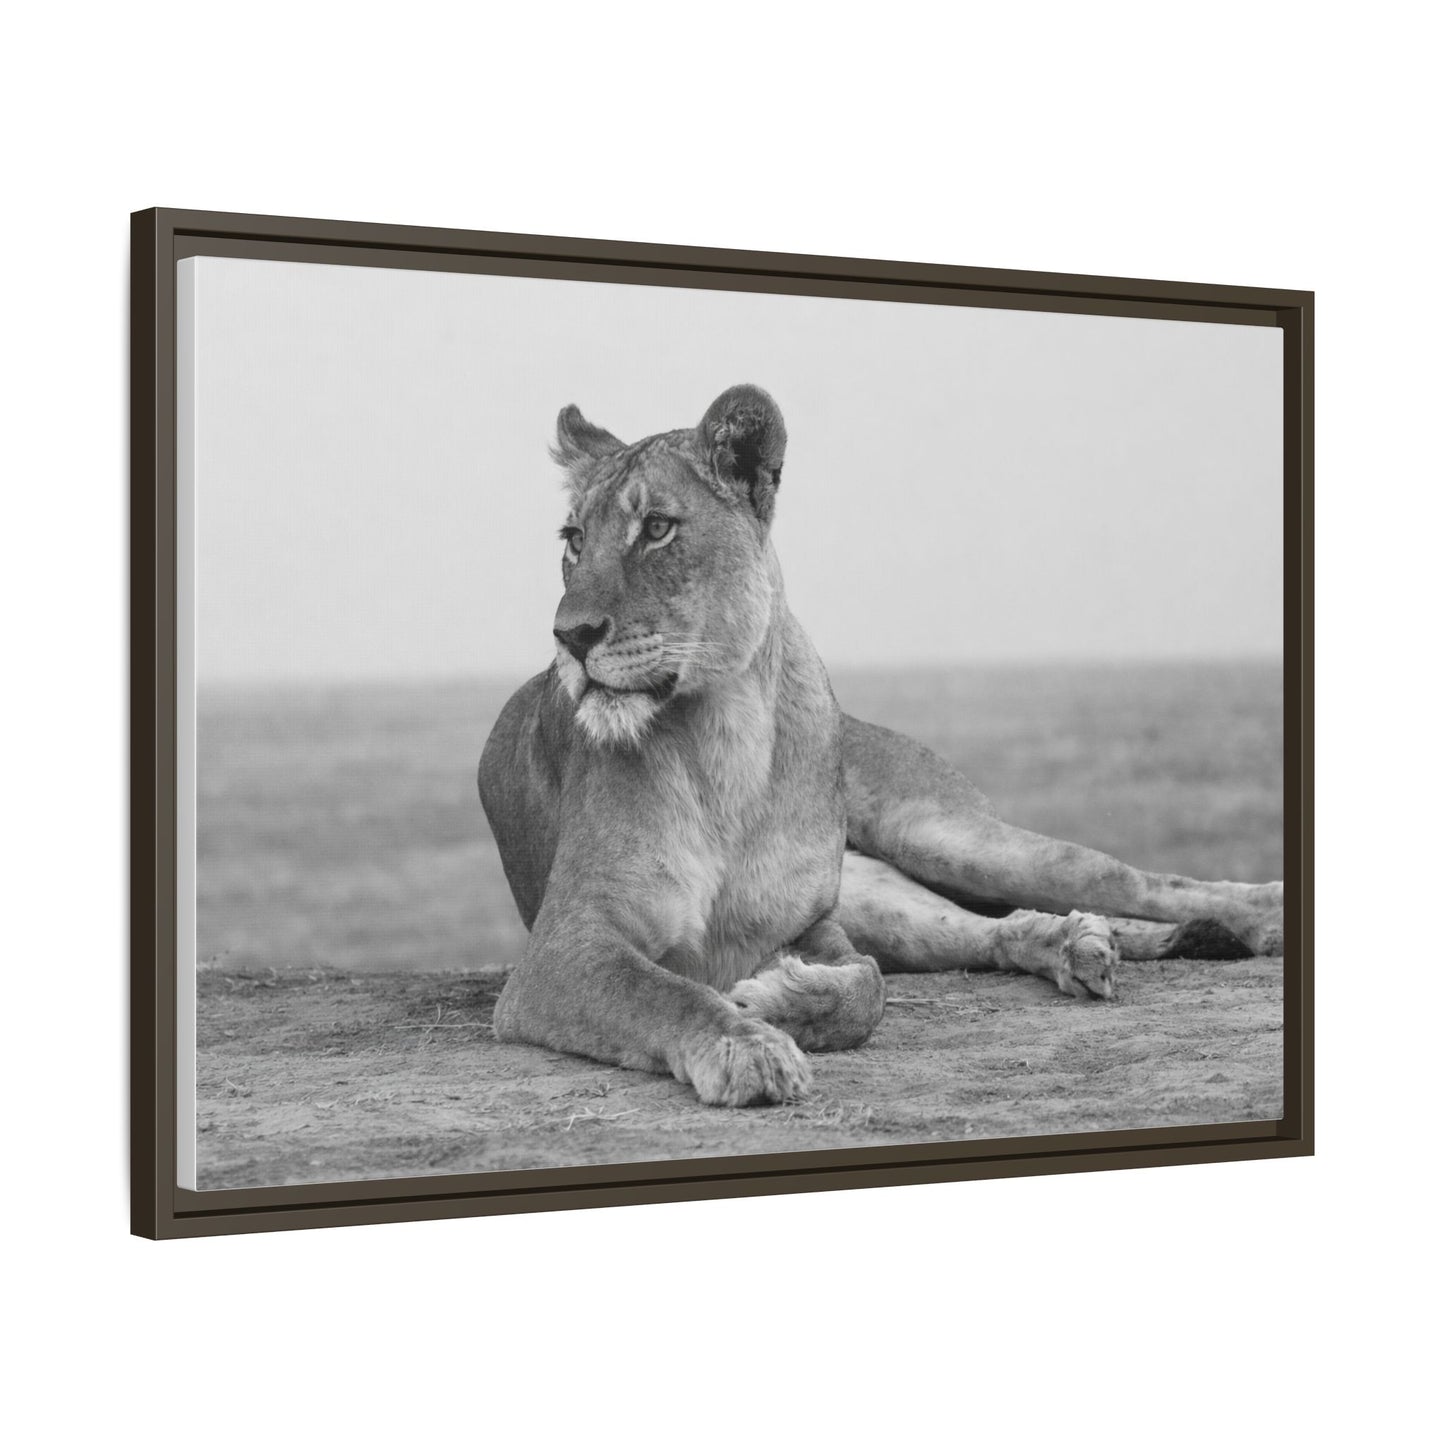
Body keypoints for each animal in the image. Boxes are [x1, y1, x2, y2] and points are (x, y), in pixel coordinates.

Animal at [478, 384, 1285, 1106]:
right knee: (992, 929)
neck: (723, 738)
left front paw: (771, 999)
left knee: (1127, 880)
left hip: (936, 832)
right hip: (885, 893)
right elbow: (666, 991)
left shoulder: (811, 923)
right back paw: (1076, 945)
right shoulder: (563, 948)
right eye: (573, 541)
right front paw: (748, 1044)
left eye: (656, 528)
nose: (571, 636)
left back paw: (1259, 912)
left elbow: (864, 993)